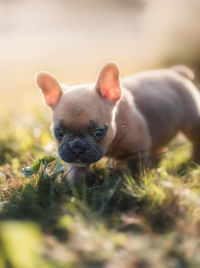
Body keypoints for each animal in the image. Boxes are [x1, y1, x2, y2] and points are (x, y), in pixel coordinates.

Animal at [35, 62, 200, 182]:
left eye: (98, 132)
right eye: (59, 132)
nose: (77, 148)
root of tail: (176, 72)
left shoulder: (137, 151)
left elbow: (136, 170)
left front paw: (135, 184)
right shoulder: (76, 163)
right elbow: (77, 172)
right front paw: (75, 188)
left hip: (192, 121)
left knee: (195, 141)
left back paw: (194, 162)